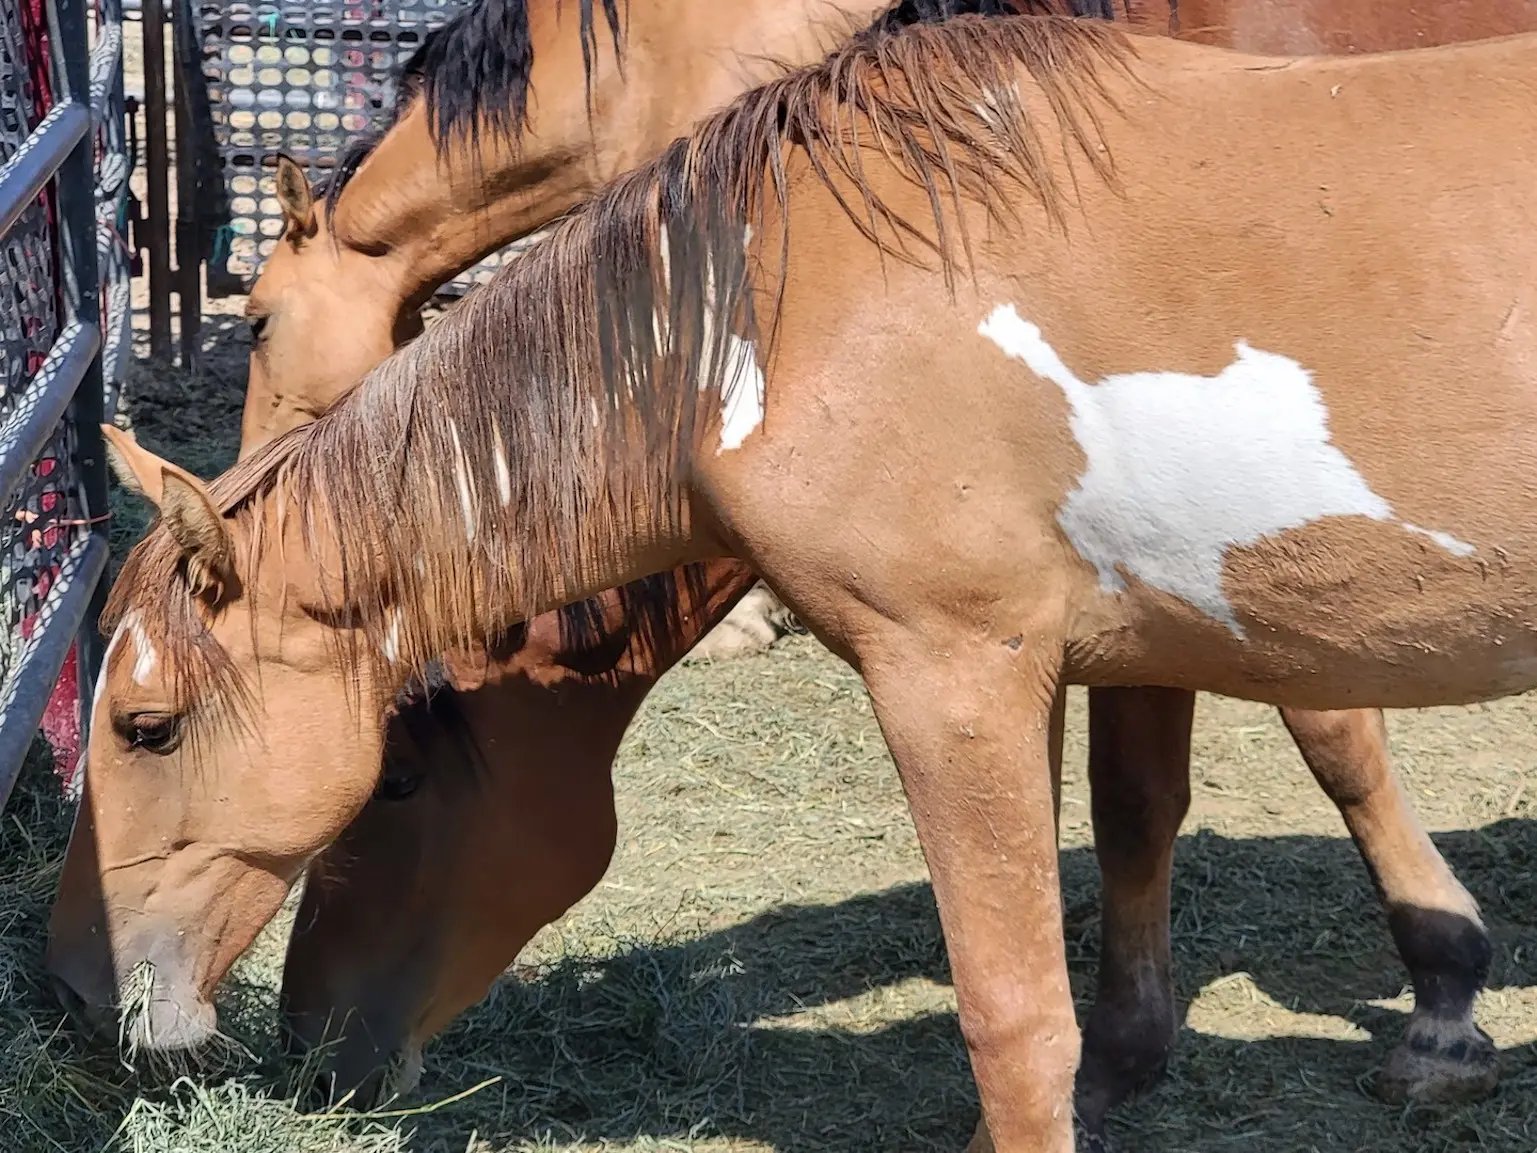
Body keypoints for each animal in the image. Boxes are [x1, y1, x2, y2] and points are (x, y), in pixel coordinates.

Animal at [44, 15, 1537, 1149]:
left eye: (147, 728)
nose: (72, 988)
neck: (777, 307)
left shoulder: (955, 676)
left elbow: (1014, 1025)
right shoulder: (1106, 647)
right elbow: (1133, 822)